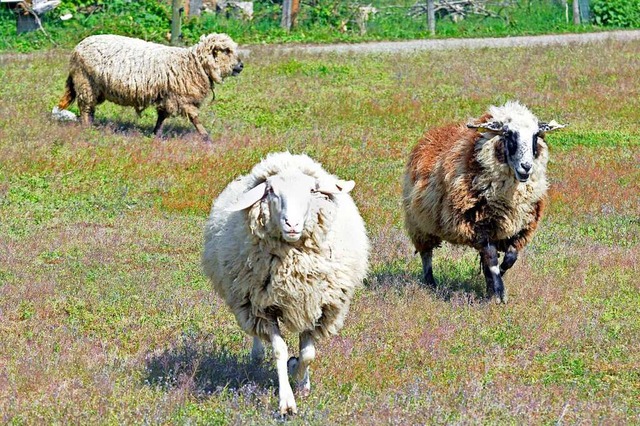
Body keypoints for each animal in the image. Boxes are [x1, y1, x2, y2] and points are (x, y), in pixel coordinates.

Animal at [55, 34, 244, 140]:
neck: (192, 64)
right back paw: (87, 129)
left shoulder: (167, 96)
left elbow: (162, 116)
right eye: (226, 50)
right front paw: (205, 136)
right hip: (85, 82)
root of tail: (78, 47)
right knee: (86, 108)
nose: (241, 66)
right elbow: (194, 117)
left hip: (93, 87)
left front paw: (156, 134)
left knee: (90, 108)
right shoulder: (181, 98)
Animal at [200, 151, 370, 414]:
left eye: (312, 190)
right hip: (247, 301)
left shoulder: (317, 306)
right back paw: (257, 356)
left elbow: (308, 354)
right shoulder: (263, 307)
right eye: (270, 190)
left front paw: (299, 377)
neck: (292, 264)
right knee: (258, 337)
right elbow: (280, 351)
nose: (291, 224)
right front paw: (287, 401)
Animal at [402, 101, 564, 302]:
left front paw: (495, 283)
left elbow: (509, 259)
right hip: (420, 223)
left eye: (535, 136)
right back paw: (430, 283)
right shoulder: (479, 225)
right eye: (508, 134)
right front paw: (499, 294)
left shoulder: (521, 228)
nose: (526, 167)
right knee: (426, 254)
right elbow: (492, 259)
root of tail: (435, 132)